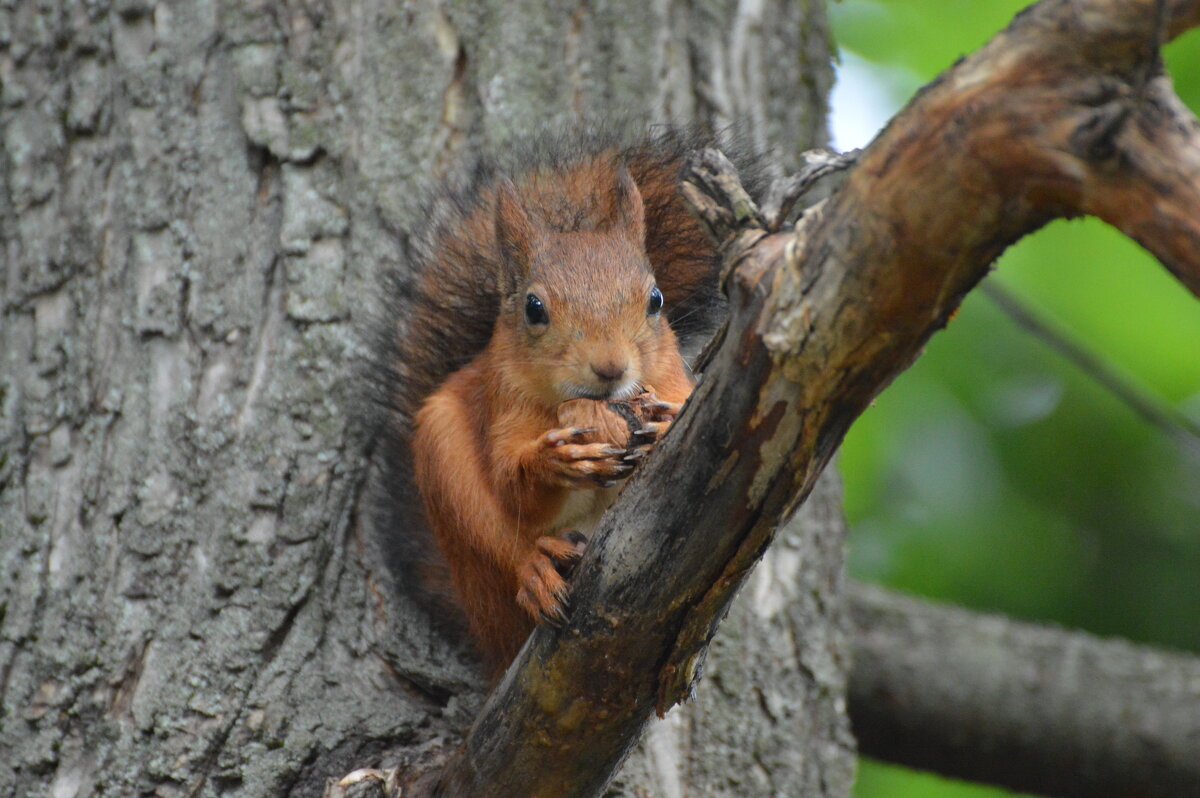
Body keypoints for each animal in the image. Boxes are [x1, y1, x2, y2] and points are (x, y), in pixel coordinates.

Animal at [369, 127, 763, 676]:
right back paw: (535, 571)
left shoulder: (679, 384)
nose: (611, 367)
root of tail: (490, 640)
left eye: (656, 300)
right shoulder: (503, 405)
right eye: (534, 308)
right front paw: (556, 459)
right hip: (444, 465)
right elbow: (511, 485)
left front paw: (663, 424)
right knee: (499, 541)